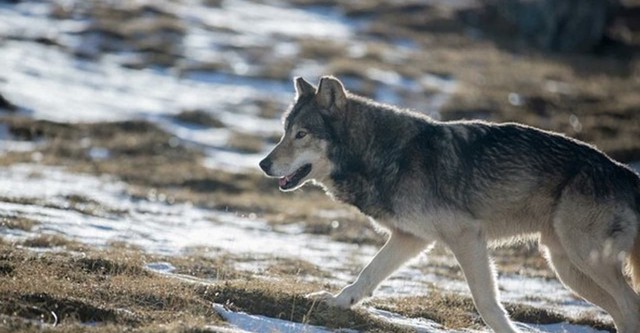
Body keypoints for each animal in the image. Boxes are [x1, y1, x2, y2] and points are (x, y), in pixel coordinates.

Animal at [258, 76, 640, 332]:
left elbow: (487, 303)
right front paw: (337, 302)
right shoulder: (411, 239)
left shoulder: (466, 236)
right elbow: (366, 275)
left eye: (301, 135)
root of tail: (626, 174)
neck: (384, 155)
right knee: (623, 311)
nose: (263, 164)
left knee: (630, 306)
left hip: (584, 260)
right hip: (567, 267)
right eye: (284, 131)